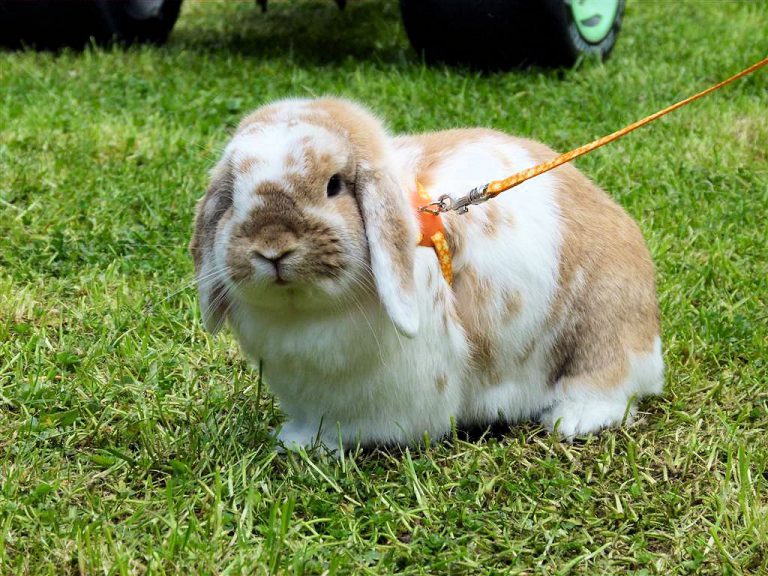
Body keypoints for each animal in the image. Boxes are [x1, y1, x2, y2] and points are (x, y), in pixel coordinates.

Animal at [189, 97, 664, 450]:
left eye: (334, 185)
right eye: (233, 196)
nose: (271, 248)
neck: (302, 315)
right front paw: (296, 440)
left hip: (601, 332)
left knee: (614, 386)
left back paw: (574, 420)